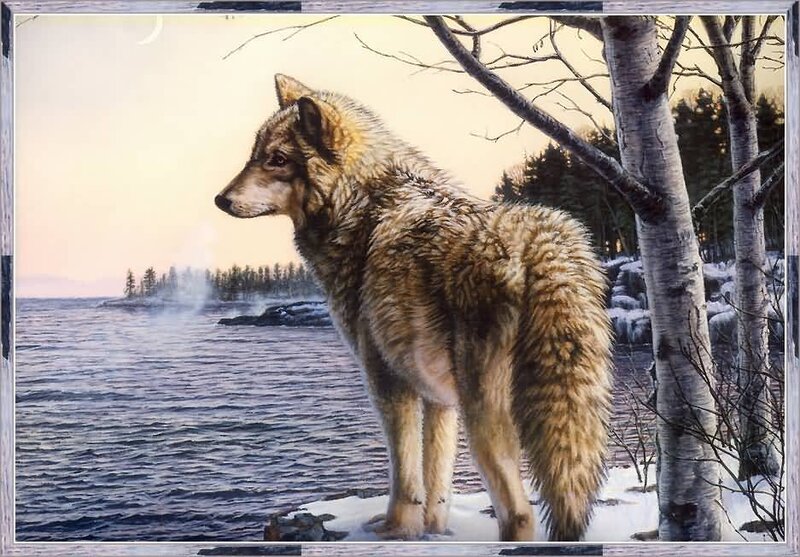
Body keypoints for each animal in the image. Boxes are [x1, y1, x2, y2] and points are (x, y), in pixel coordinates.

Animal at [215, 75, 613, 542]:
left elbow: (405, 475)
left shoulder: (388, 381)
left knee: (519, 513)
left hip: (487, 418)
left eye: (276, 160)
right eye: (253, 156)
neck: (362, 207)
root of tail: (537, 242)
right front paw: (434, 532)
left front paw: (395, 531)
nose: (221, 200)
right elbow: (436, 479)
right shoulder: (438, 398)